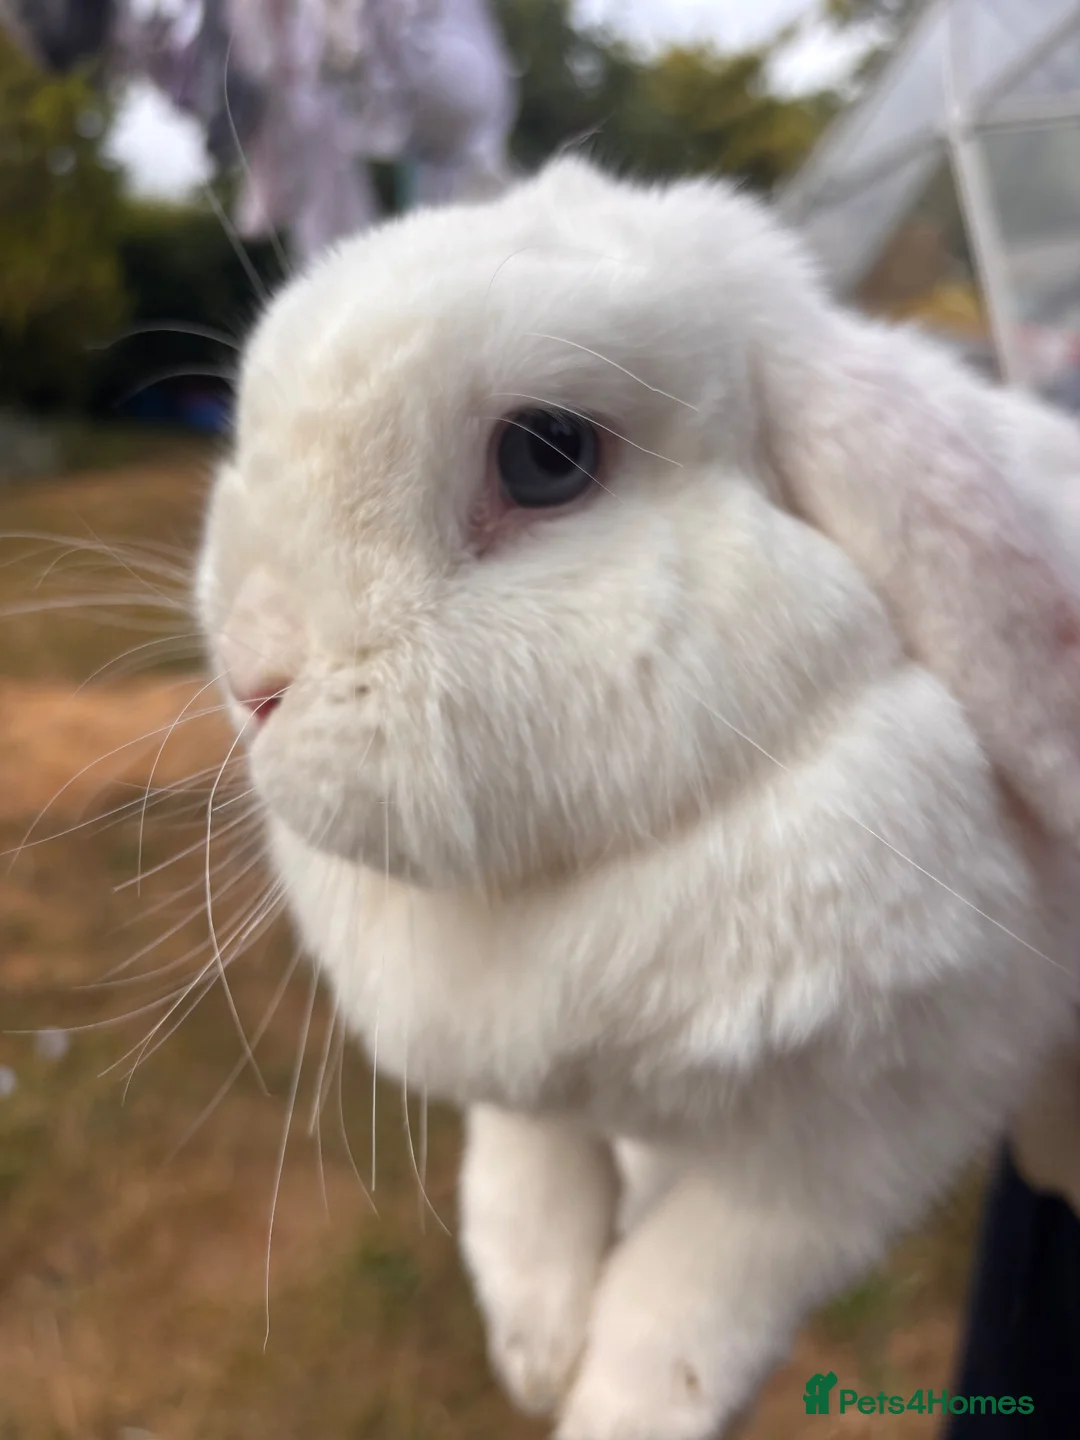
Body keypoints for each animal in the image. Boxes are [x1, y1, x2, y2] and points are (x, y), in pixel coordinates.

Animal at [195, 156, 1080, 1439]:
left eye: (546, 455)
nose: (249, 675)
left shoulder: (877, 1120)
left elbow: (693, 1288)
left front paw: (613, 1408)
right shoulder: (525, 1085)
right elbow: (527, 1177)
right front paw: (530, 1347)